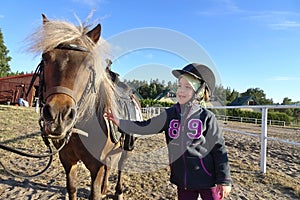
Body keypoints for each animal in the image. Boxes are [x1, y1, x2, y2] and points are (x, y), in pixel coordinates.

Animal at [26, 14, 142, 200]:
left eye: (89, 65)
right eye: (45, 58)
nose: (59, 116)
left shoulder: (96, 166)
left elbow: (94, 193)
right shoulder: (67, 160)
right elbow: (72, 188)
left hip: (127, 149)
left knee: (121, 168)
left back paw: (118, 192)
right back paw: (105, 188)